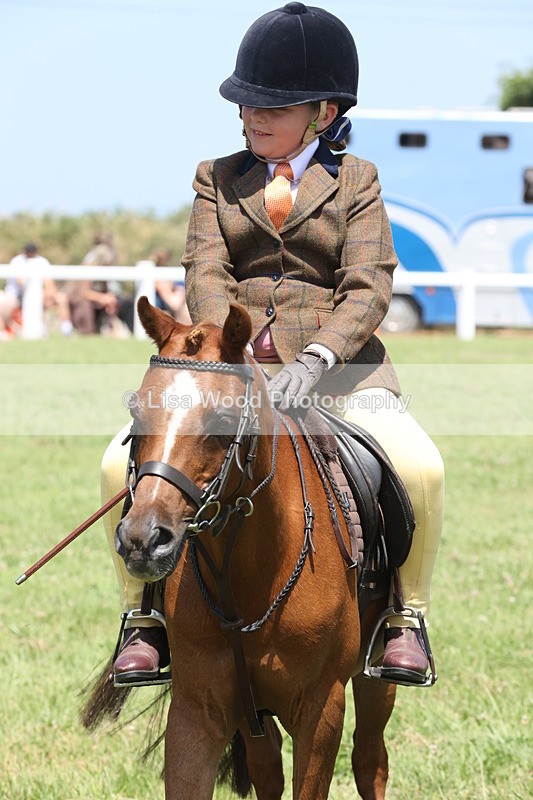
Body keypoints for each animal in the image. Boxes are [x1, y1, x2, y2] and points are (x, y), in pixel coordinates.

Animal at [84, 296, 398, 800]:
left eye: (223, 420)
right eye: (136, 414)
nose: (142, 540)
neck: (250, 576)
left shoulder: (321, 709)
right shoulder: (197, 711)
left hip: (375, 676)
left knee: (371, 760)